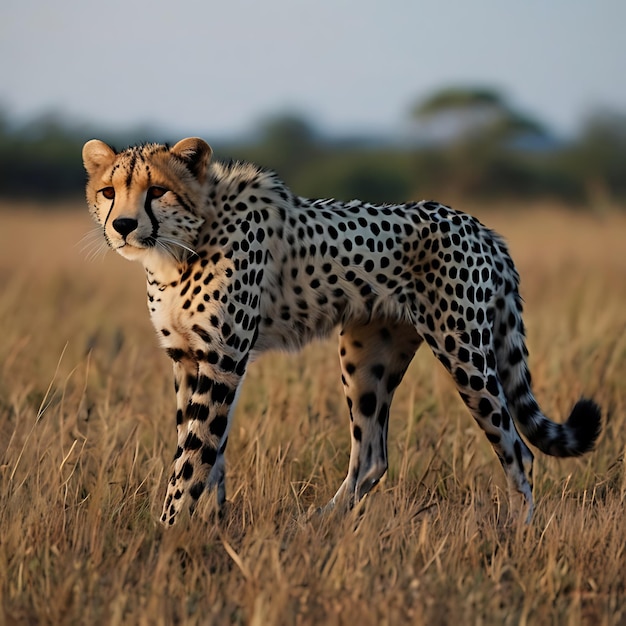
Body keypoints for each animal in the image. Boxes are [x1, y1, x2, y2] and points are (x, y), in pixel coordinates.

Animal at [81, 138, 600, 528]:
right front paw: (208, 523)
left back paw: (519, 532)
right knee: (372, 456)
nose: (123, 225)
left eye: (156, 191)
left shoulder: (222, 359)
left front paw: (166, 533)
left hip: (464, 351)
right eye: (108, 191)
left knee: (517, 450)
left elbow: (192, 456)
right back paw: (317, 524)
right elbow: (205, 449)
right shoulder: (189, 359)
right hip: (366, 356)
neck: (180, 245)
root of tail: (479, 226)